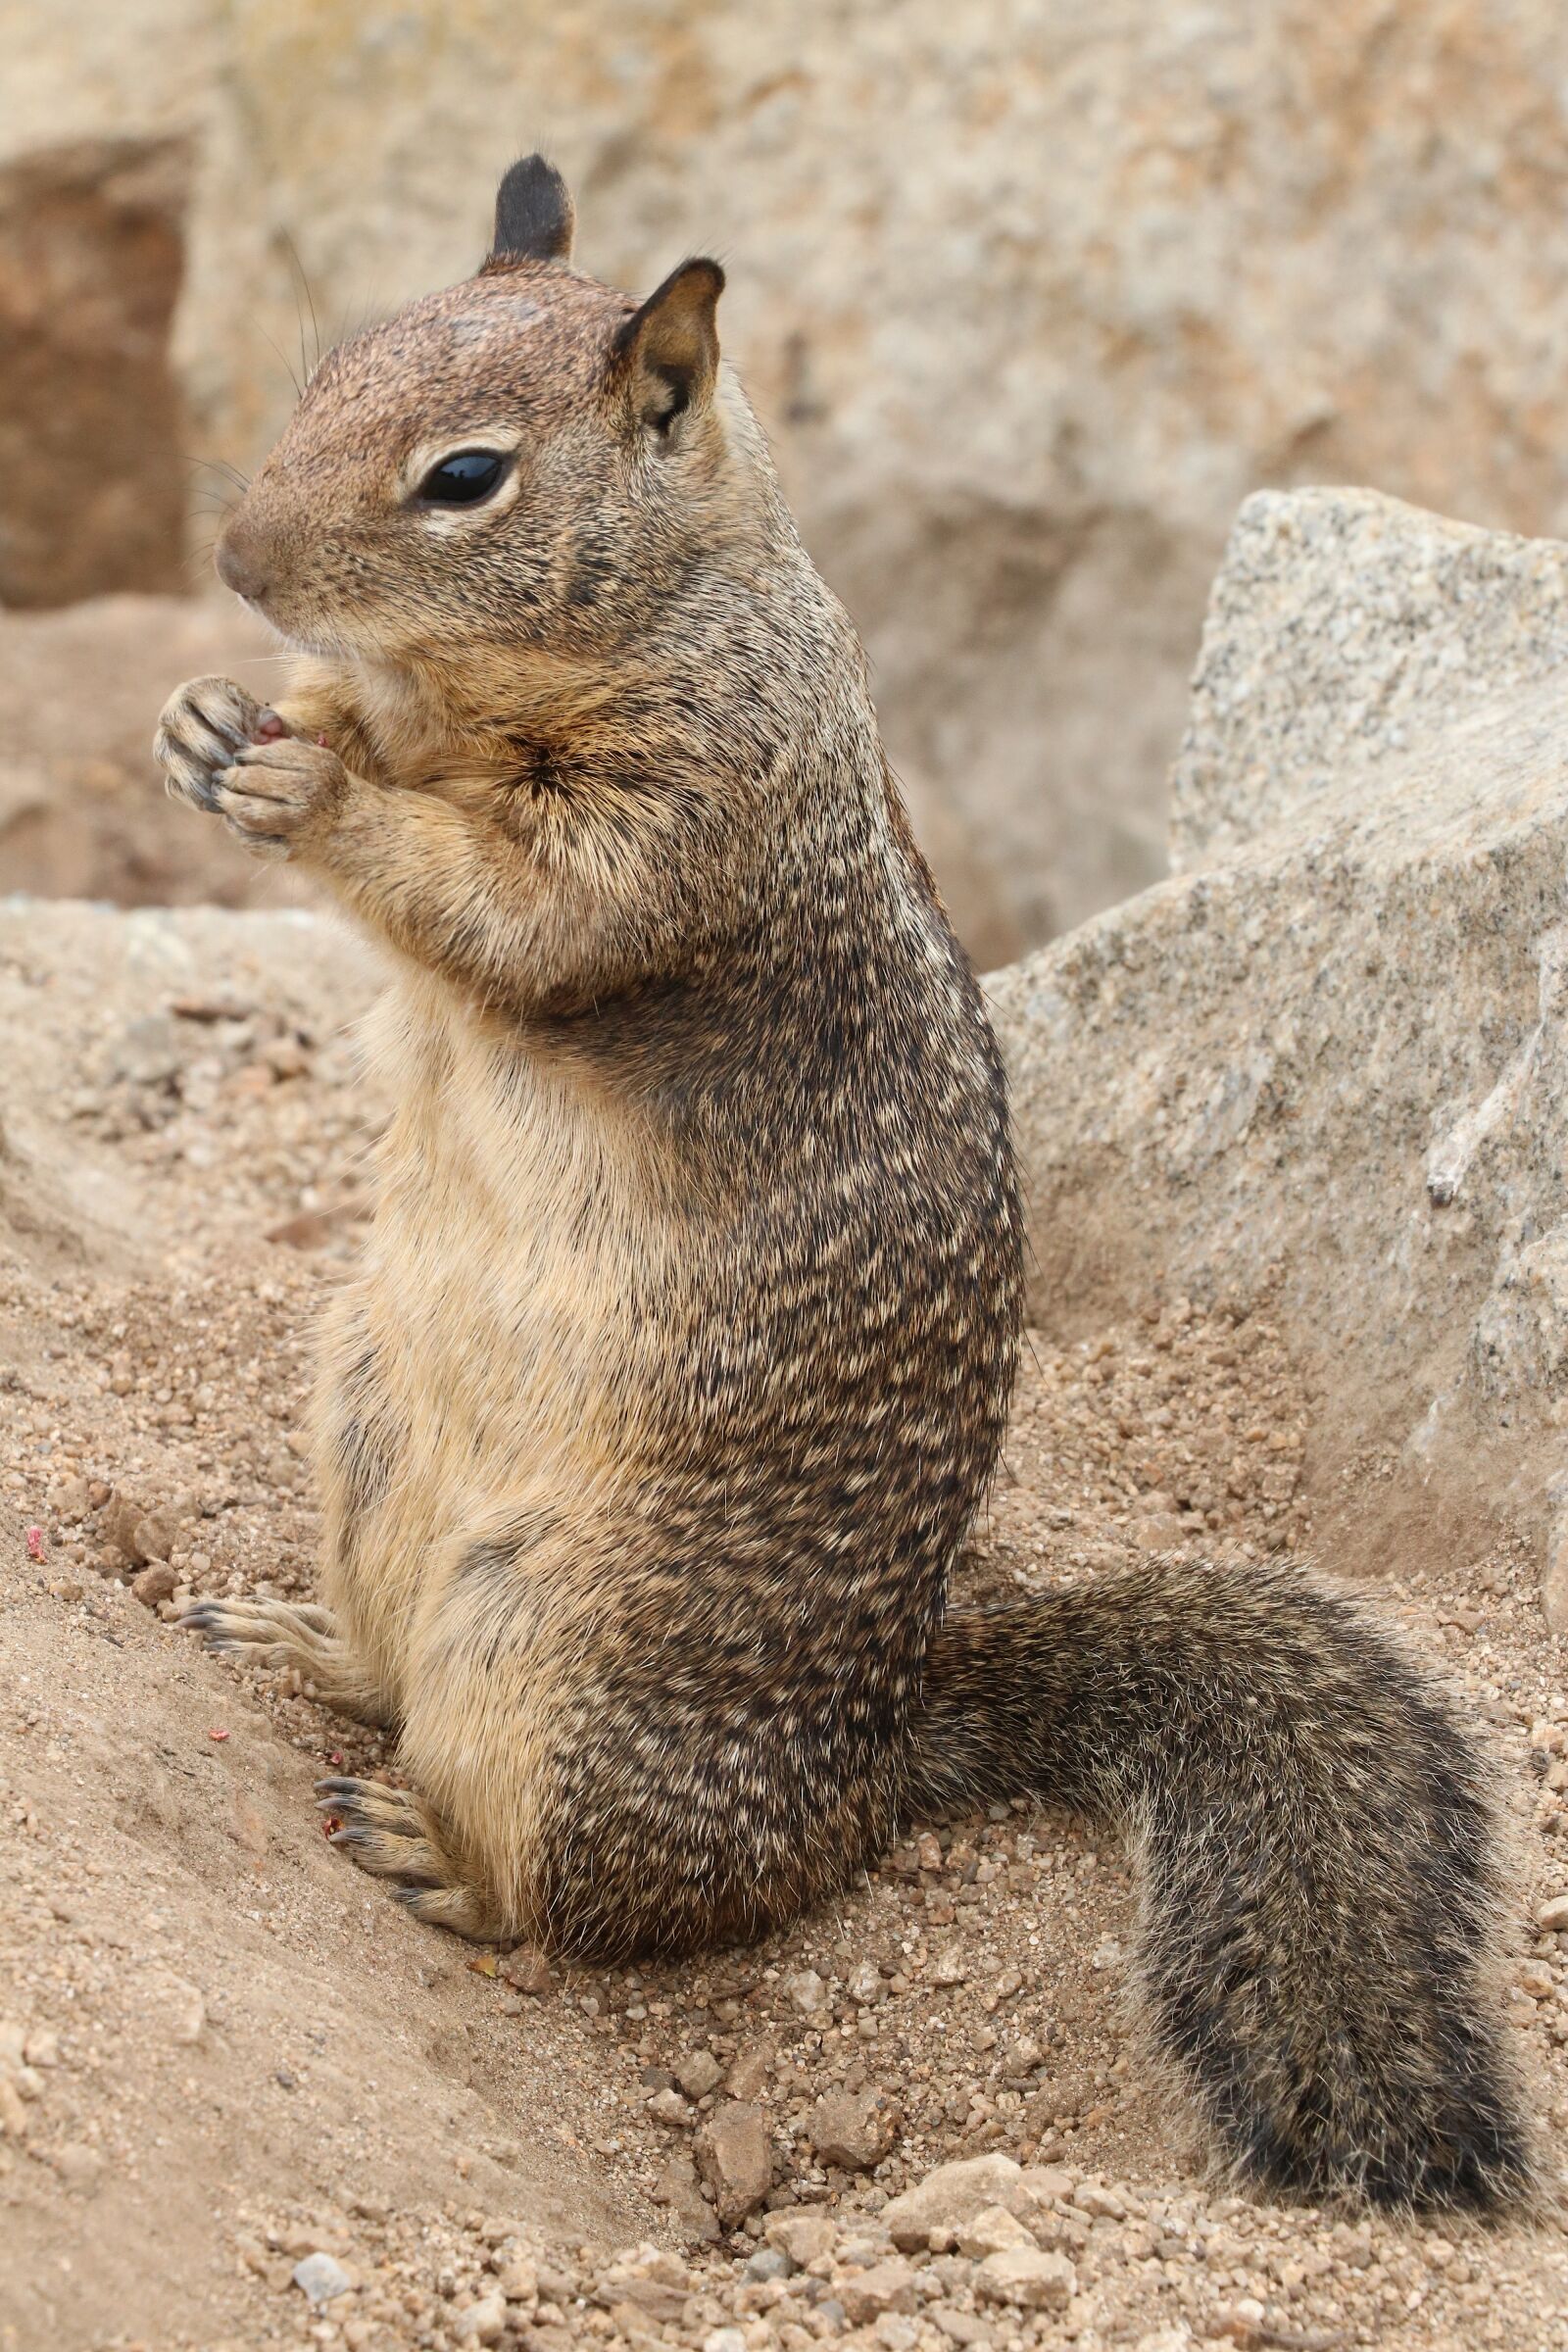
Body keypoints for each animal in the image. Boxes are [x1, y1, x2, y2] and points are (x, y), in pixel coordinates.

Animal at [156, 156, 1527, 2212]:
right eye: (325, 370)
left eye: (465, 476)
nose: (237, 558)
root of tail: (876, 1759)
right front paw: (223, 725)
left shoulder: (691, 813)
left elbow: (516, 906)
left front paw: (302, 790)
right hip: (362, 1435)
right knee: (387, 1672)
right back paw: (298, 1633)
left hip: (567, 1663)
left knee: (563, 1893)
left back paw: (437, 1853)